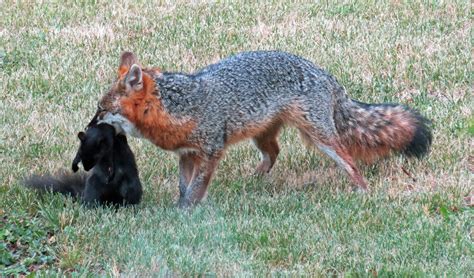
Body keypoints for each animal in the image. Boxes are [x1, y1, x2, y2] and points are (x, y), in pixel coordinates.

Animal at [93, 50, 434, 206]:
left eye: (102, 110)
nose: (89, 126)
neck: (179, 107)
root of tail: (325, 74)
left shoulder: (211, 151)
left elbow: (195, 188)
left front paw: (186, 212)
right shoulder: (187, 154)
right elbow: (183, 186)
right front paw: (181, 206)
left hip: (320, 137)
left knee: (350, 161)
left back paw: (363, 192)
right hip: (262, 136)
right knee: (274, 154)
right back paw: (251, 181)